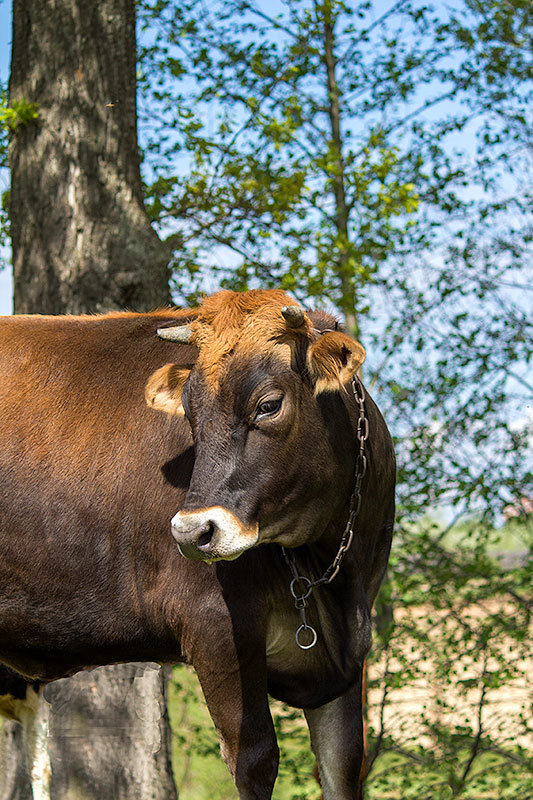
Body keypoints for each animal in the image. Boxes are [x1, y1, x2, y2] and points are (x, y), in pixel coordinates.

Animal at [1, 290, 394, 800]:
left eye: (269, 405)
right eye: (190, 413)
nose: (192, 532)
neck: (331, 576)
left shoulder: (345, 660)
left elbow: (343, 767)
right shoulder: (215, 624)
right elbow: (255, 760)